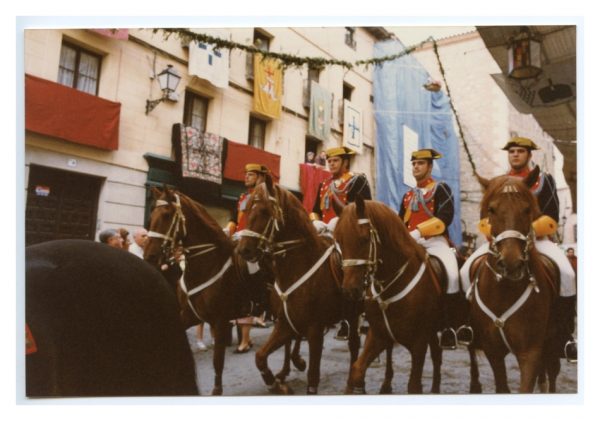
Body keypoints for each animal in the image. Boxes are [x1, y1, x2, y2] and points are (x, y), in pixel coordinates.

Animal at [145, 187, 304, 394]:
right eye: (152, 215)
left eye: (166, 215)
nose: (149, 255)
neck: (208, 263)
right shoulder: (189, 315)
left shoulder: (219, 321)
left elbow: (218, 360)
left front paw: (216, 390)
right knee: (288, 339)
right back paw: (284, 371)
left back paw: (295, 363)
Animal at [237, 178, 360, 394]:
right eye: (248, 208)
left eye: (265, 211)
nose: (244, 250)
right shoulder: (285, 323)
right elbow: (260, 356)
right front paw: (275, 382)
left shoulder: (314, 330)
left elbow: (312, 378)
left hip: (354, 315)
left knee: (356, 345)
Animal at [336, 197, 480, 394]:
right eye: (339, 241)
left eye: (364, 239)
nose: (350, 290)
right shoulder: (379, 335)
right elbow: (356, 371)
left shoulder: (418, 342)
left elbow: (414, 385)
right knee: (437, 356)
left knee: (472, 351)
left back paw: (475, 385)